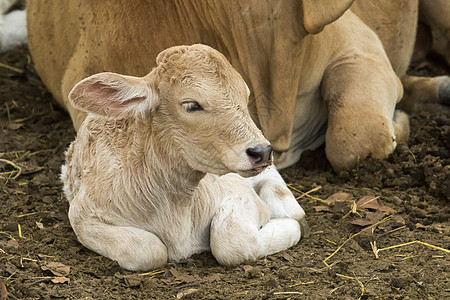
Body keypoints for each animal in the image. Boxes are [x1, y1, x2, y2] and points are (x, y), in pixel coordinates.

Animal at [60, 44, 306, 272]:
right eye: (191, 105)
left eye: (245, 96)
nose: (261, 151)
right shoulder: (83, 215)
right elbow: (149, 250)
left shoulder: (238, 193)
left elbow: (231, 242)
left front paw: (293, 226)